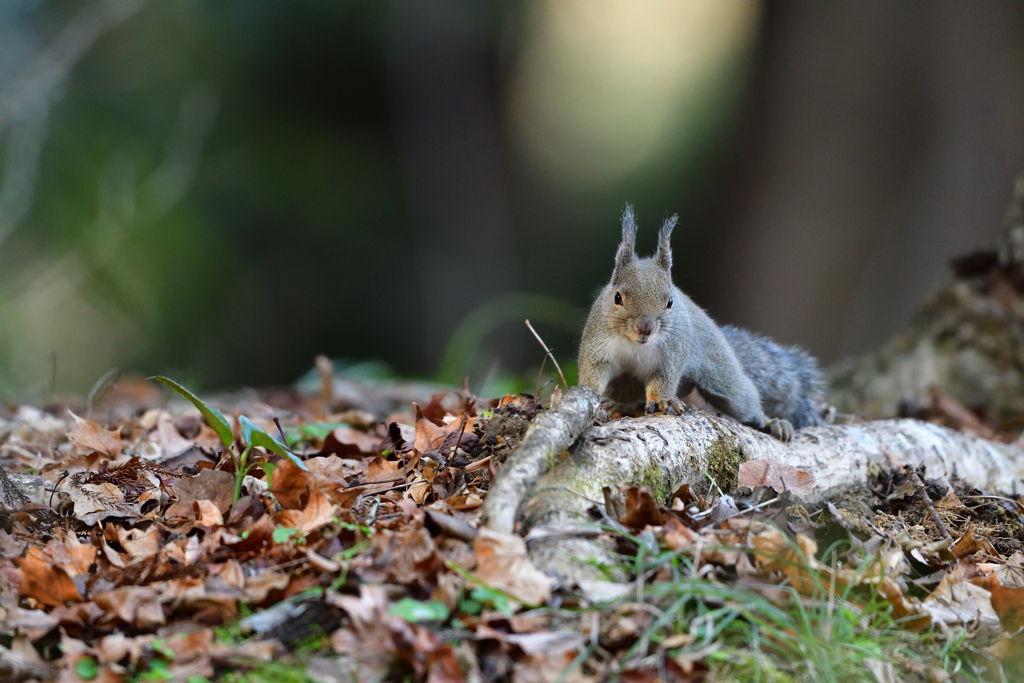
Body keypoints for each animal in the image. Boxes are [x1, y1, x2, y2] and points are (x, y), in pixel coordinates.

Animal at [581, 205, 827, 440]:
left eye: (670, 301)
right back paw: (619, 404)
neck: (635, 345)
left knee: (743, 400)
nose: (645, 328)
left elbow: (664, 378)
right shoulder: (598, 343)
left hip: (722, 375)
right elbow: (593, 371)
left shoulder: (672, 353)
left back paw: (770, 421)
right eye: (617, 297)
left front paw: (662, 400)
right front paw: (591, 396)